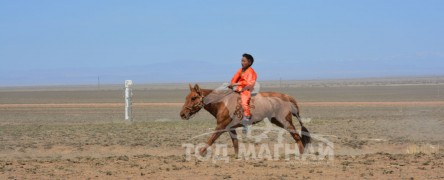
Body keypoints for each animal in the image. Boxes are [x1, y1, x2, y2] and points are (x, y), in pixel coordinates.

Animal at [179, 84, 310, 156]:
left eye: (193, 98)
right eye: (186, 97)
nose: (182, 114)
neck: (222, 102)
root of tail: (287, 97)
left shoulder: (221, 126)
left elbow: (211, 139)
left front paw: (200, 152)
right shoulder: (230, 128)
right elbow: (235, 143)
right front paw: (237, 156)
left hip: (285, 121)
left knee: (296, 136)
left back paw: (301, 154)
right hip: (277, 121)